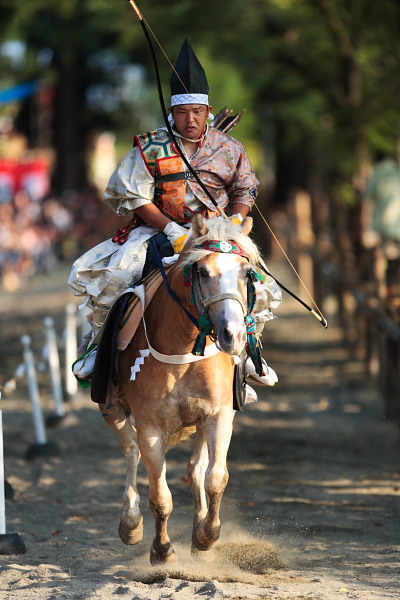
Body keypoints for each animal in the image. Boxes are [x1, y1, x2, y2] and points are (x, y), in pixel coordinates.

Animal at [98, 213, 264, 564]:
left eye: (246, 273)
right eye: (202, 272)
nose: (233, 335)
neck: (184, 349)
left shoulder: (218, 415)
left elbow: (216, 478)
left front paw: (206, 536)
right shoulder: (150, 425)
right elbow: (160, 495)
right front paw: (161, 550)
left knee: (196, 468)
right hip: (111, 407)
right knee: (130, 449)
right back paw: (130, 522)